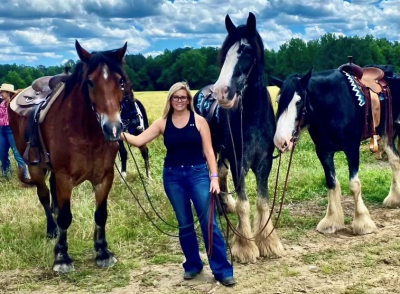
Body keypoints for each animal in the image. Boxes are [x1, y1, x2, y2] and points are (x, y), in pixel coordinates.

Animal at [8, 39, 129, 274]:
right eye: (89, 82)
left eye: (120, 81)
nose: (113, 128)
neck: (86, 132)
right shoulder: (65, 178)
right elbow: (65, 216)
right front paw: (62, 257)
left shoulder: (105, 177)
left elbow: (101, 214)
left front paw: (102, 251)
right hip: (35, 168)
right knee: (45, 197)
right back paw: (51, 229)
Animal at [194, 12, 284, 262]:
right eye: (225, 53)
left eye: (246, 50)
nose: (222, 92)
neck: (252, 115)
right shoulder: (239, 162)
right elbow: (245, 204)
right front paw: (245, 246)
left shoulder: (263, 163)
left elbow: (262, 203)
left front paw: (268, 242)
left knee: (220, 173)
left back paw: (225, 204)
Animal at [272, 67, 400, 237]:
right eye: (278, 101)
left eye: (298, 101)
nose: (281, 141)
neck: (332, 106)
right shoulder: (323, 151)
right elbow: (331, 183)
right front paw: (331, 221)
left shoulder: (352, 148)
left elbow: (354, 184)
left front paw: (362, 223)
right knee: (395, 161)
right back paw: (394, 199)